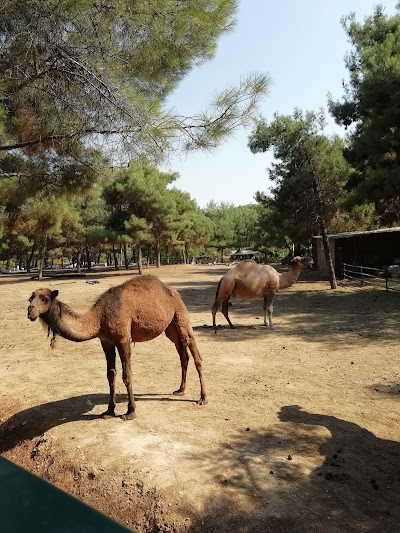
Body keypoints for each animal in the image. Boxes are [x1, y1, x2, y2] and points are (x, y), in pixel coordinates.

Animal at [27, 274, 208, 420]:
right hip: (170, 329)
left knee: (195, 352)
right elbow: (110, 375)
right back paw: (180, 390)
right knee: (183, 354)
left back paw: (203, 398)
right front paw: (109, 410)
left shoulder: (123, 339)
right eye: (30, 298)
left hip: (181, 315)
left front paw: (130, 412)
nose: (30, 311)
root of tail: (174, 292)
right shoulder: (106, 341)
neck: (98, 318)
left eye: (44, 298)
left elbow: (126, 374)